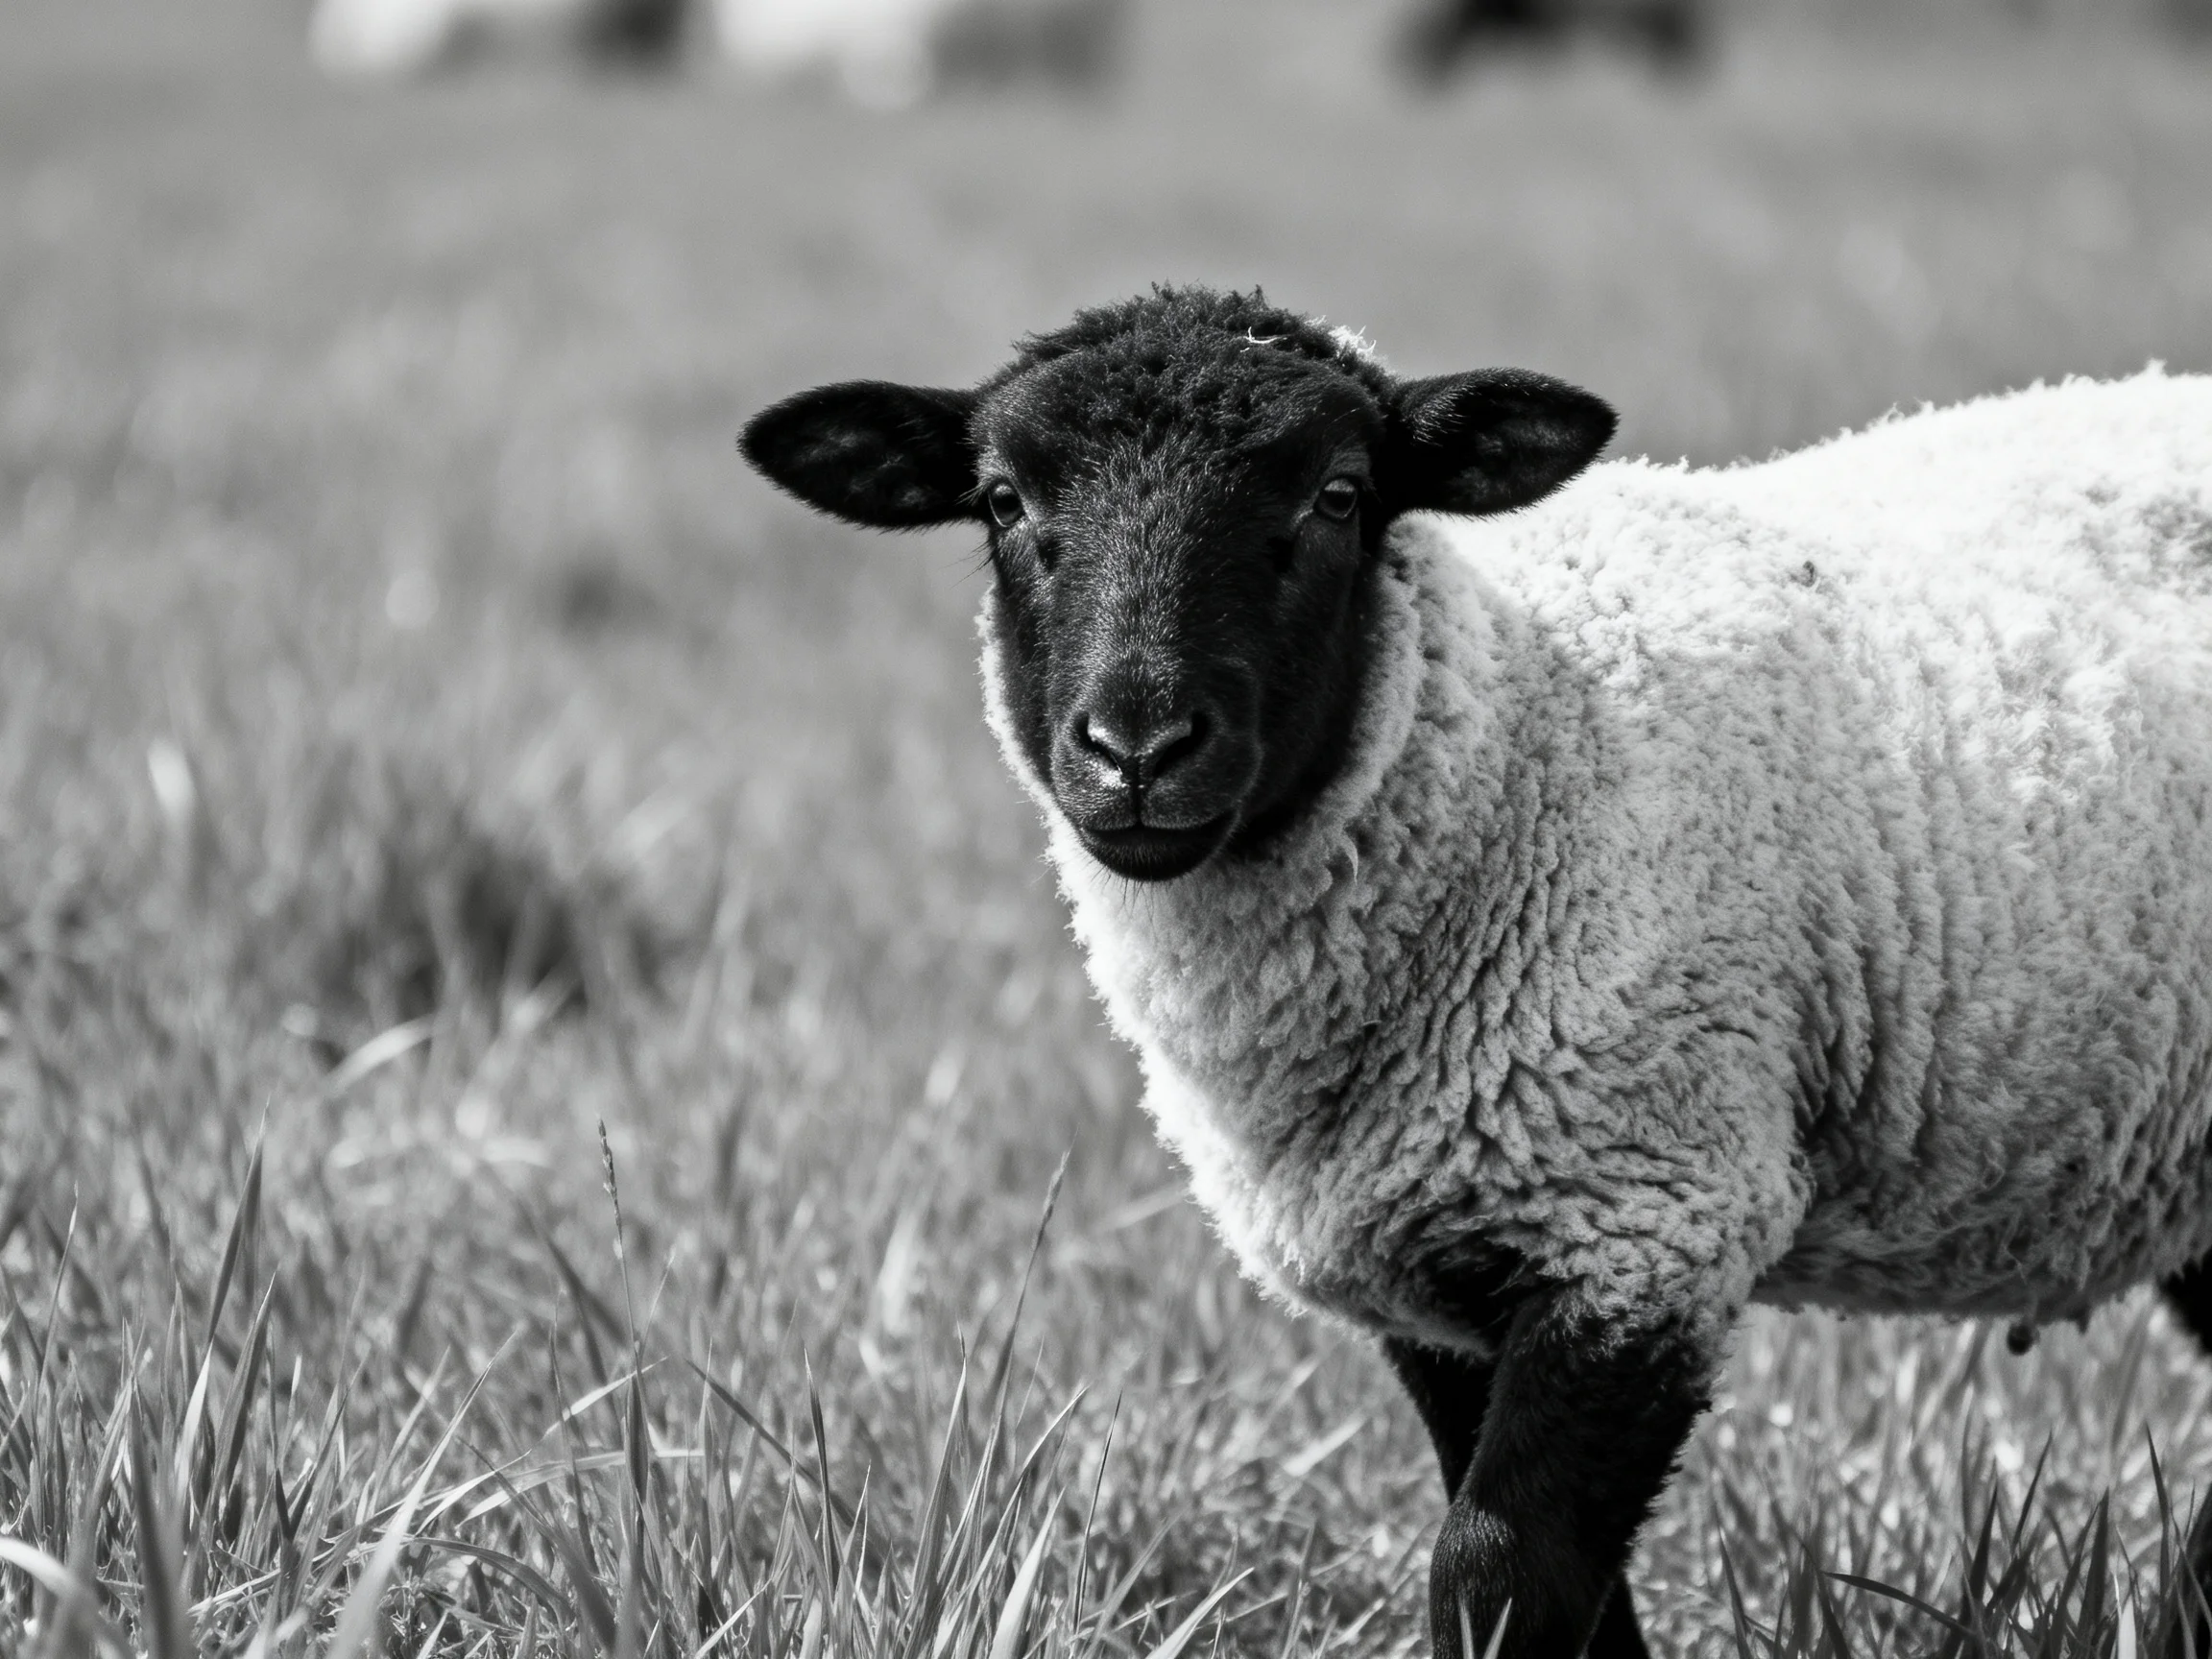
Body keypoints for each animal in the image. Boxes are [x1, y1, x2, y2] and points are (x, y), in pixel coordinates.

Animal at [740, 285, 2212, 1659]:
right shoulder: (1441, 1276)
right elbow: (1572, 1601)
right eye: (1003, 499)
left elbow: (1497, 1577)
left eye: (1340, 494)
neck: (1520, 733)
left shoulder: (1643, 1222)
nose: (1138, 751)